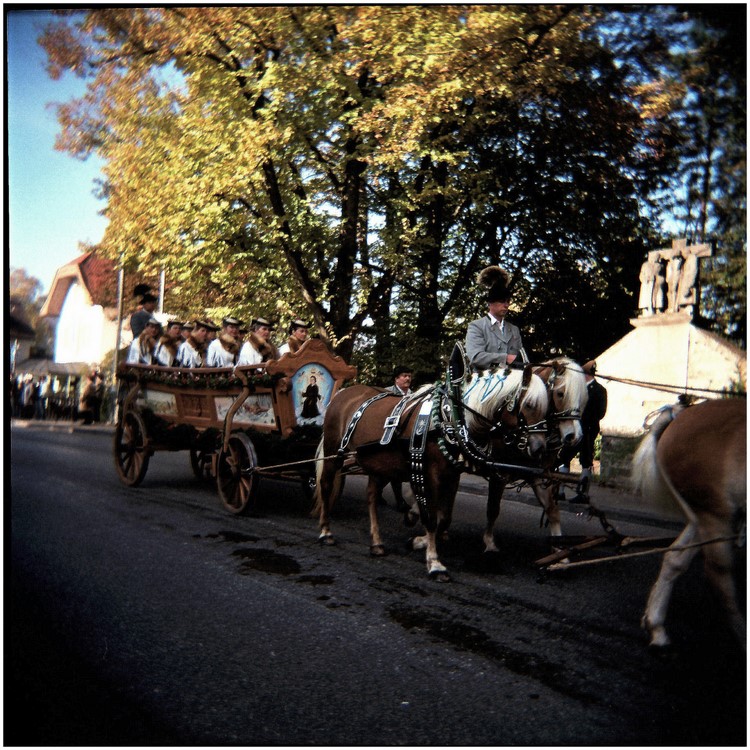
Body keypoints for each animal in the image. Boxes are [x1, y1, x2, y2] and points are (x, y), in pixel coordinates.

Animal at [314, 368, 548, 580]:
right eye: (529, 405)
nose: (539, 448)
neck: (448, 419)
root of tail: (344, 393)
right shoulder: (427, 475)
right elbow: (431, 518)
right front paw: (434, 562)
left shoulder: (452, 476)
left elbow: (445, 518)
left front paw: (419, 541)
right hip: (334, 453)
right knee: (326, 485)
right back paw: (325, 532)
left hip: (378, 464)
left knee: (371, 496)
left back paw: (377, 543)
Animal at [632, 400, 748, 652]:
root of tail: (680, 416)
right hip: (713, 513)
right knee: (719, 576)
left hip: (703, 515)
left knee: (675, 559)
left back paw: (656, 626)